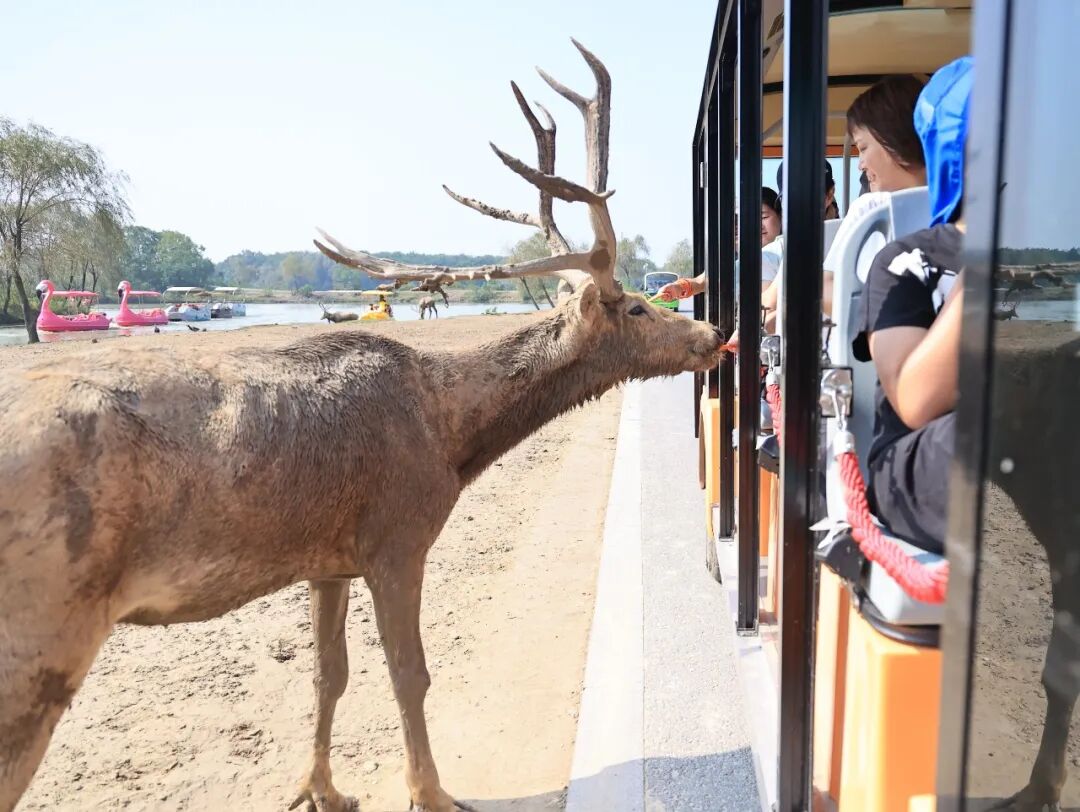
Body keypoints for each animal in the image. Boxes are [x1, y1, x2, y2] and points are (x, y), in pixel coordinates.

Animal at [0, 40, 724, 812]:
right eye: (638, 308)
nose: (713, 332)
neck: (453, 438)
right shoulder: (396, 537)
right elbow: (410, 673)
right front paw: (432, 792)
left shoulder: (328, 561)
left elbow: (330, 674)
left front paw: (320, 788)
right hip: (44, 631)